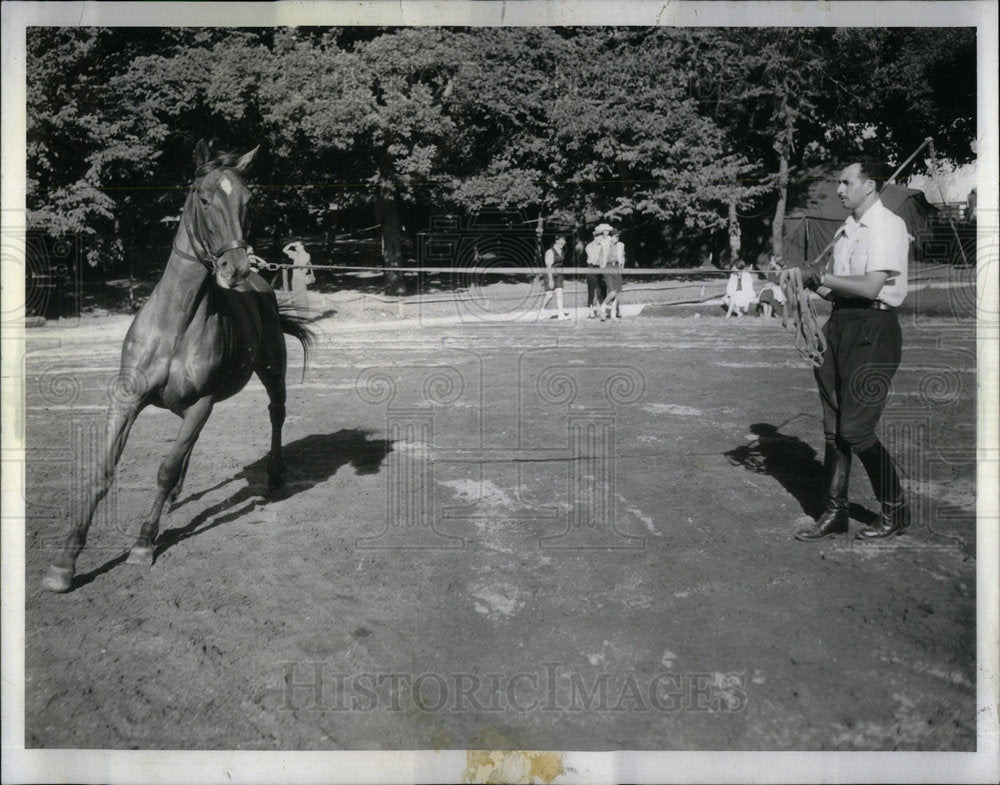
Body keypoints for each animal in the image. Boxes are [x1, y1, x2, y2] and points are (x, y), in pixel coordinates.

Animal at [43, 142, 314, 596]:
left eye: (249, 200)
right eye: (203, 199)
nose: (235, 269)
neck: (177, 323)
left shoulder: (203, 401)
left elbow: (165, 470)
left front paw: (142, 544)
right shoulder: (127, 399)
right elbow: (103, 470)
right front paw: (63, 564)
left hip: (272, 370)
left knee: (276, 413)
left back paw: (275, 476)